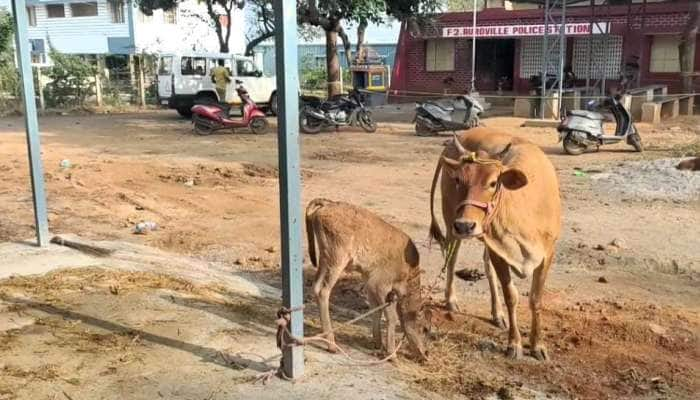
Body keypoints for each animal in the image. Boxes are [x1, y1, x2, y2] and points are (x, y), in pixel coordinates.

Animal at [306, 198, 426, 360]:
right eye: (425, 328)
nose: (426, 352)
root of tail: (327, 205)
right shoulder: (379, 284)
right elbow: (391, 316)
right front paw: (391, 354)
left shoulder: (369, 283)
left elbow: (376, 310)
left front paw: (378, 344)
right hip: (337, 258)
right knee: (323, 291)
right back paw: (331, 344)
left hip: (325, 258)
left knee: (316, 286)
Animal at [426, 128, 564, 360]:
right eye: (458, 179)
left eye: (493, 183)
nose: (465, 225)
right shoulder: (499, 252)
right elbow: (511, 296)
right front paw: (514, 344)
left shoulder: (547, 253)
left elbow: (535, 299)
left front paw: (538, 345)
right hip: (450, 219)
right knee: (452, 258)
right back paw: (451, 300)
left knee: (486, 266)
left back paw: (497, 314)